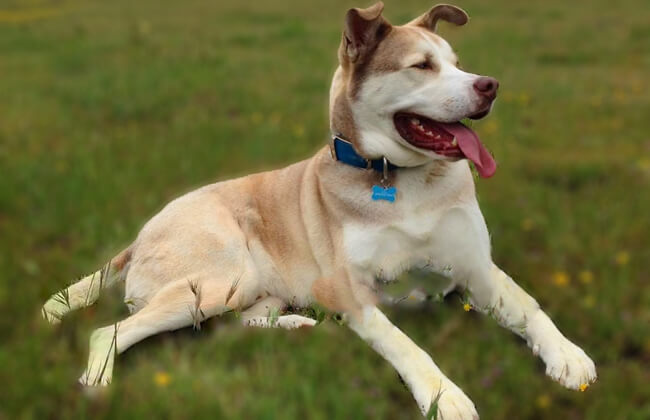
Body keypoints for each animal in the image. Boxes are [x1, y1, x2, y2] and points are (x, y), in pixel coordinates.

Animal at [43, 2, 596, 416]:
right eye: (421, 66)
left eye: (458, 62)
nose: (490, 85)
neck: (401, 180)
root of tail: (138, 238)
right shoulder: (351, 291)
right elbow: (404, 342)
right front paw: (444, 395)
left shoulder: (475, 268)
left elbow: (530, 306)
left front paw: (567, 356)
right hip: (223, 277)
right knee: (110, 330)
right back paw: (98, 382)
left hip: (243, 288)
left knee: (239, 322)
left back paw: (298, 323)